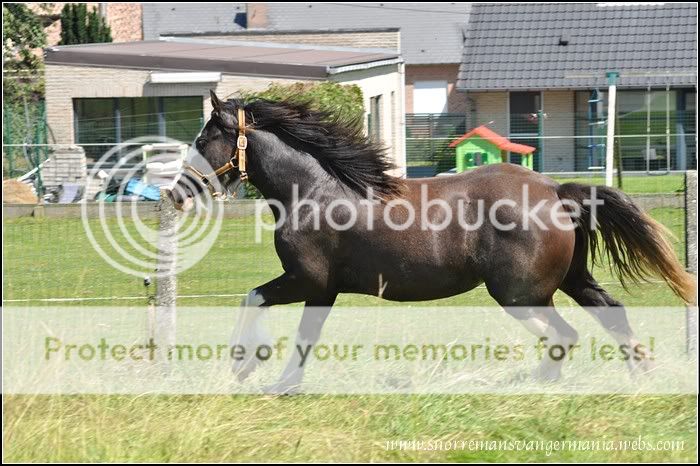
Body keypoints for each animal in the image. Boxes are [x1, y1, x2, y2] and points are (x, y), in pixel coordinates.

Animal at [170, 92, 696, 394]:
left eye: (205, 137)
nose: (175, 192)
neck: (315, 191)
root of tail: (555, 191)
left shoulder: (307, 280)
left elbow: (254, 299)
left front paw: (248, 364)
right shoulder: (323, 289)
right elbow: (303, 335)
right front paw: (280, 380)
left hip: (520, 295)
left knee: (563, 336)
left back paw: (532, 384)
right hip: (569, 280)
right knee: (610, 314)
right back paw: (641, 375)